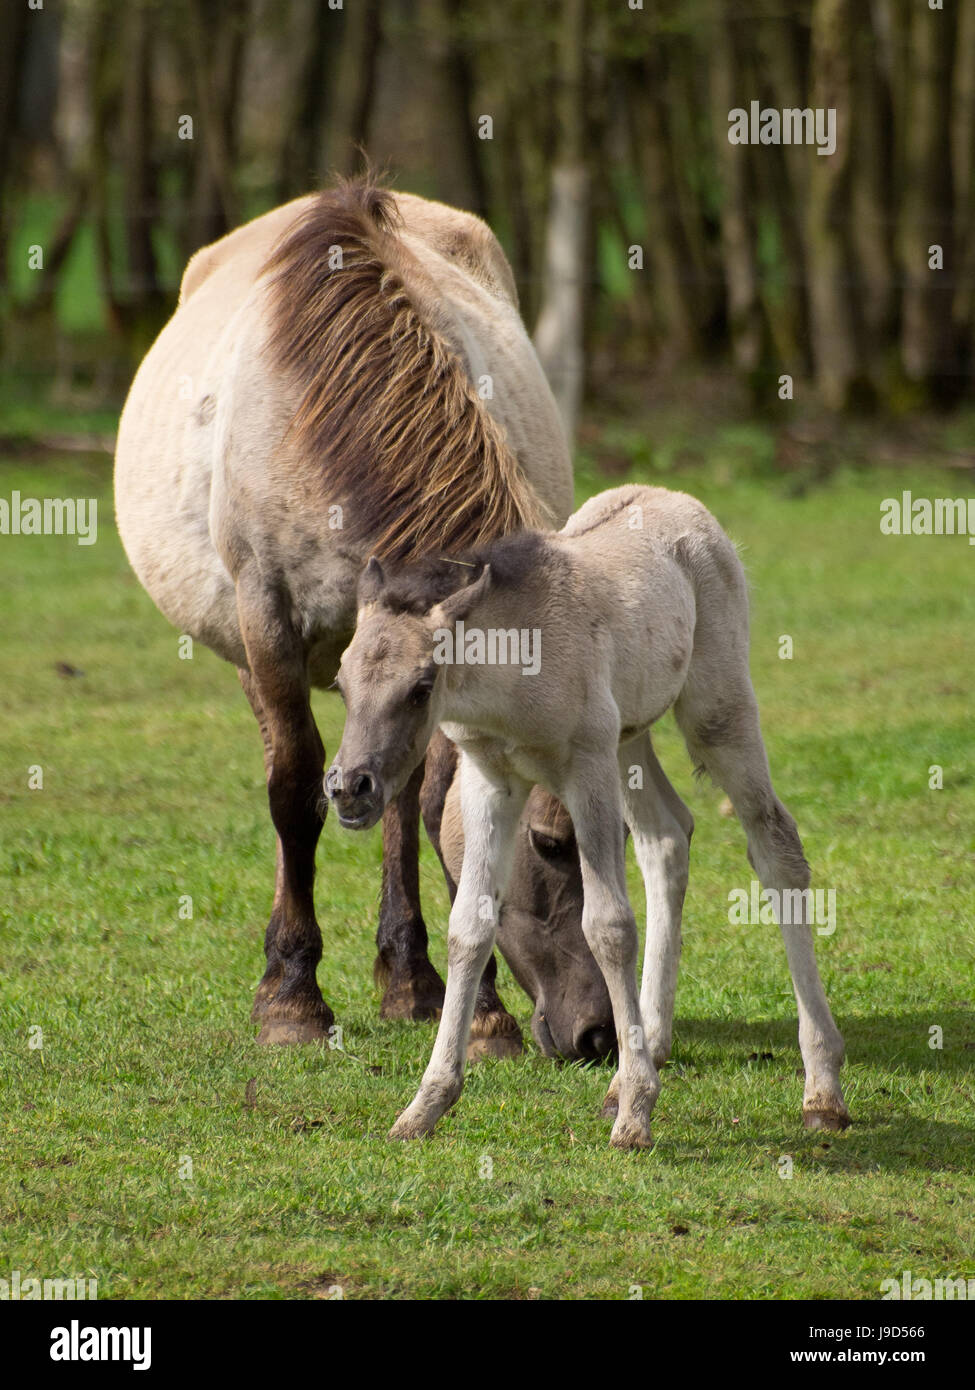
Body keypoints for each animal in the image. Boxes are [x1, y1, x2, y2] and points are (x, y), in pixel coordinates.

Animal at [113, 177, 613, 1062]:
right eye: (551, 844)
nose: (599, 1036)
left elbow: (428, 800)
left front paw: (475, 1013)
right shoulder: (268, 620)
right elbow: (293, 789)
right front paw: (291, 998)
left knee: (402, 793)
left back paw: (410, 980)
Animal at [326, 483, 851, 1148]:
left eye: (422, 686)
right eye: (341, 682)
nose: (350, 788)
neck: (513, 676)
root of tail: (677, 501)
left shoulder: (586, 769)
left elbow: (608, 926)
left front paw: (637, 1114)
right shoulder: (489, 780)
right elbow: (468, 928)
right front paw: (425, 1106)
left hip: (715, 710)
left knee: (775, 843)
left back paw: (822, 1088)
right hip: (630, 738)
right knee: (666, 838)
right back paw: (641, 1055)